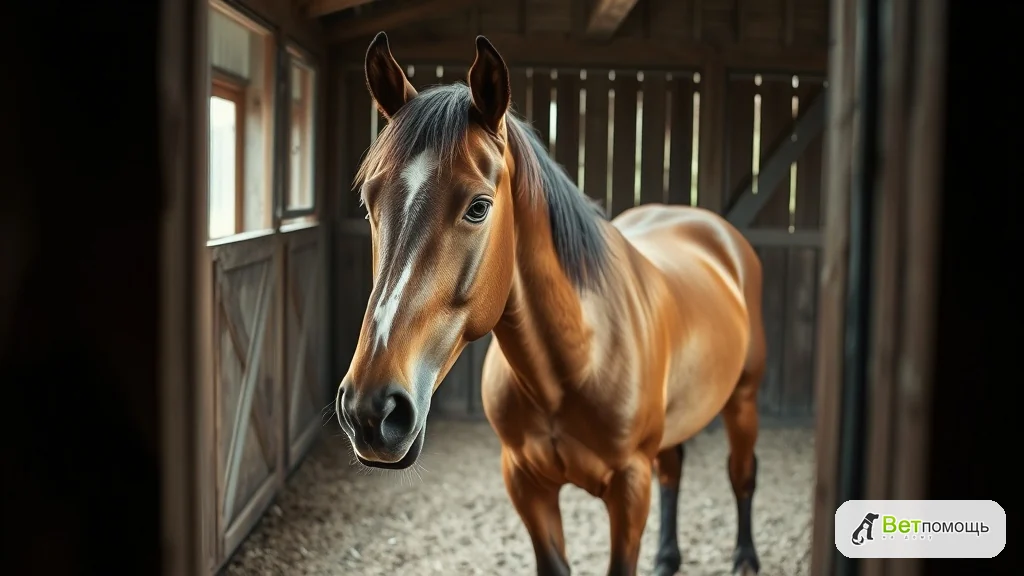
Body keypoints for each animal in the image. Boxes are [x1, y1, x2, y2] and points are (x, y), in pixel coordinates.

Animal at [335, 31, 766, 576]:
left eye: (479, 207)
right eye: (369, 202)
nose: (371, 411)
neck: (576, 357)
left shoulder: (630, 488)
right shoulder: (525, 482)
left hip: (743, 400)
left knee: (742, 473)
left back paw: (745, 557)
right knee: (675, 469)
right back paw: (667, 557)